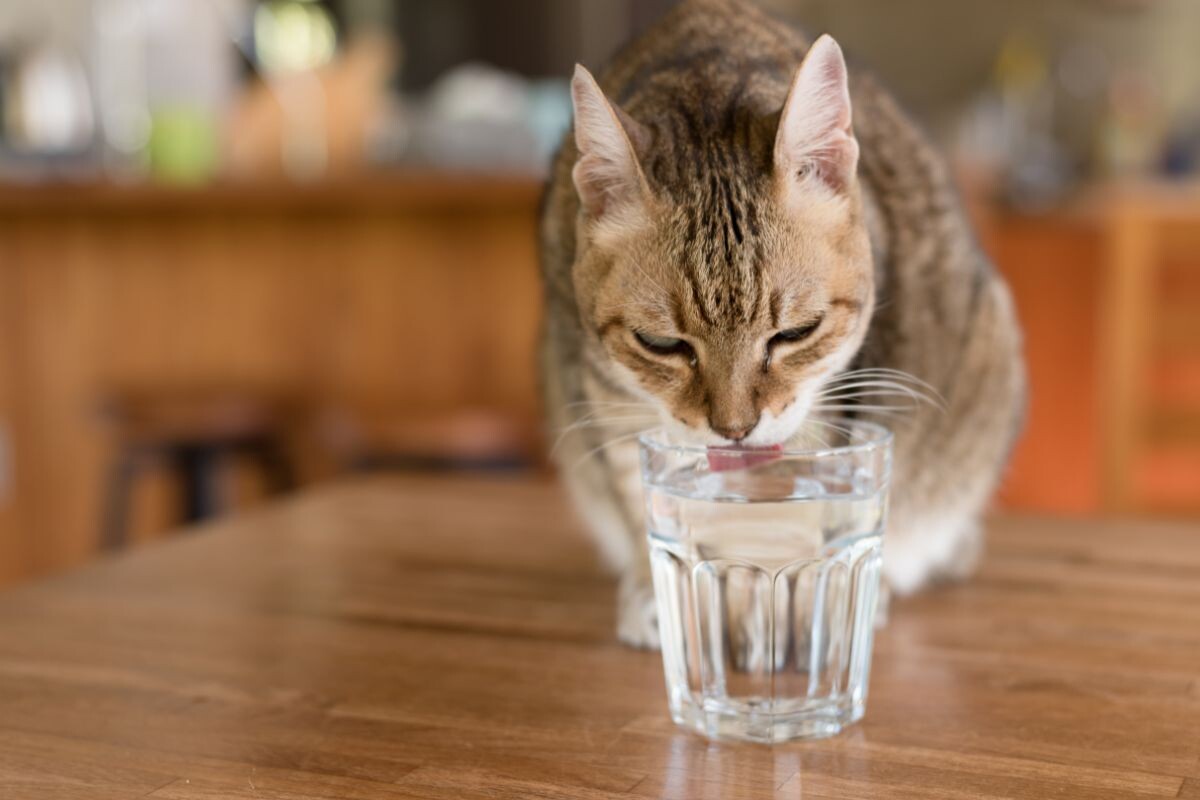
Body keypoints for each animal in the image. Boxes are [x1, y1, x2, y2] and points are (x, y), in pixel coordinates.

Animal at [540, 0, 1027, 652]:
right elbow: (637, 492)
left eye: (797, 332)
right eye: (661, 344)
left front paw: (787, 597)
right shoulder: (602, 394)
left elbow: (796, 509)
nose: (734, 430)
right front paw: (667, 594)